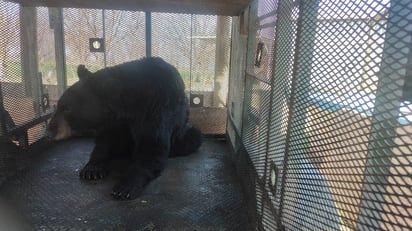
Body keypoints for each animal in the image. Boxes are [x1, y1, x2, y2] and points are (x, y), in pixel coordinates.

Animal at [46, 56, 203, 199]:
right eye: (58, 105)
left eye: (67, 108)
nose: (49, 131)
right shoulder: (115, 122)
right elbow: (105, 141)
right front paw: (92, 169)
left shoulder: (158, 107)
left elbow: (152, 145)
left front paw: (125, 186)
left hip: (184, 133)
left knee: (193, 137)